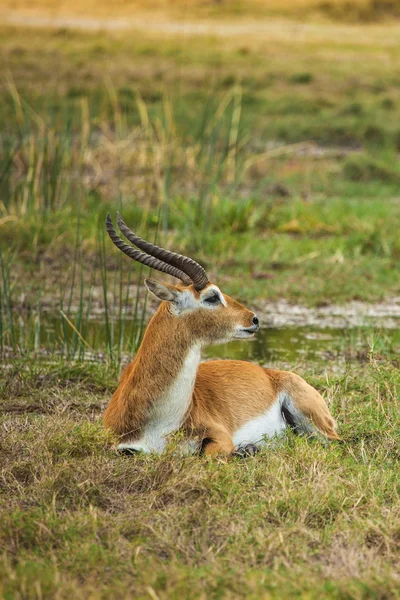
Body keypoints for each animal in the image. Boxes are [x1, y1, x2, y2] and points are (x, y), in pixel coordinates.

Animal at [104, 213, 340, 458]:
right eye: (212, 296)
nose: (254, 319)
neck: (160, 424)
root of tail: (270, 373)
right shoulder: (119, 447)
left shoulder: (220, 438)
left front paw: (244, 450)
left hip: (316, 425)